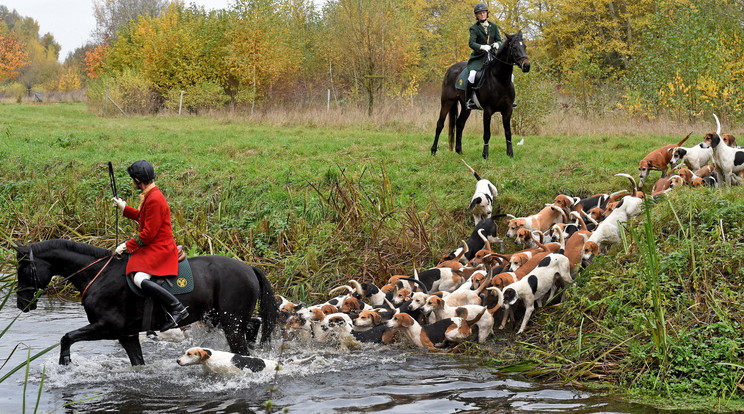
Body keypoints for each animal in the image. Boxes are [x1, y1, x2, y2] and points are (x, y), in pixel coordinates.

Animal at [13, 239, 278, 366]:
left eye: (22, 268)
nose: (21, 303)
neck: (98, 275)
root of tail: (248, 267)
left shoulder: (107, 327)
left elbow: (67, 337)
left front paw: (65, 363)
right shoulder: (127, 335)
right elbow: (138, 363)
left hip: (230, 323)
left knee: (241, 350)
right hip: (218, 318)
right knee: (253, 324)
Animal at [430, 29, 528, 159]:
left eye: (525, 46)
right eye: (514, 47)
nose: (527, 66)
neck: (500, 80)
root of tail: (451, 69)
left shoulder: (508, 109)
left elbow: (508, 132)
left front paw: (510, 154)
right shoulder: (488, 110)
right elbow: (487, 133)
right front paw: (485, 155)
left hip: (466, 107)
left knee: (459, 123)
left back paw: (459, 151)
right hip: (447, 102)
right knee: (440, 124)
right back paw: (433, 150)